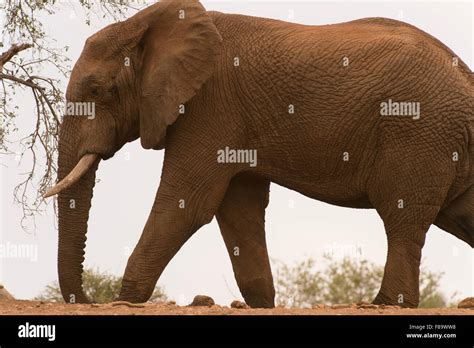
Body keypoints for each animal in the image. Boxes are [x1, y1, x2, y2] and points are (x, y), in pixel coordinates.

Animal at [43, 0, 470, 310]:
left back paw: (383, 304)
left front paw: (125, 300)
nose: (87, 299)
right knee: (460, 215)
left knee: (402, 218)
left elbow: (186, 204)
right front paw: (262, 304)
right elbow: (239, 210)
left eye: (97, 90)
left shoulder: (210, 108)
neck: (148, 23)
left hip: (419, 132)